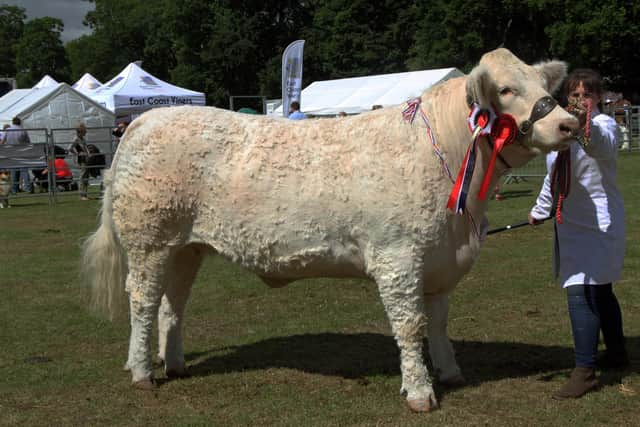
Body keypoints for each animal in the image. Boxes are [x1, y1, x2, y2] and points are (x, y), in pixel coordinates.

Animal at [82, 48, 576, 412]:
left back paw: (176, 364)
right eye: (507, 89)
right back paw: (142, 372)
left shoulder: (440, 258)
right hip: (148, 241)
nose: (568, 122)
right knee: (143, 302)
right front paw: (420, 393)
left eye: (543, 85)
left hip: (186, 247)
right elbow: (410, 325)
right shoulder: (398, 258)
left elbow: (437, 321)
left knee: (173, 304)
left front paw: (450, 372)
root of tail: (146, 120)